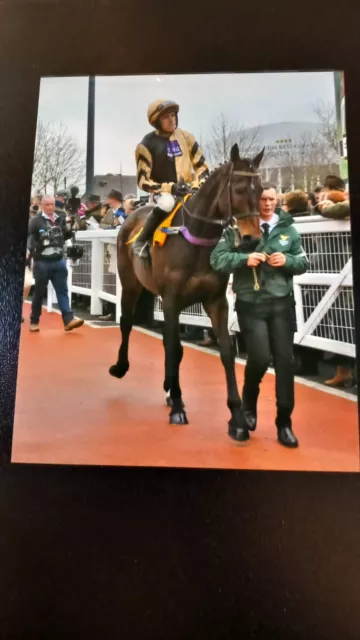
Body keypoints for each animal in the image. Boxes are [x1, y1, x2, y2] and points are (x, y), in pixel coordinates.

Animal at [108, 144, 262, 444]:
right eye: (238, 189)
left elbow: (226, 351)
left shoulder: (216, 301)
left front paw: (237, 419)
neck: (197, 240)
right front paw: (178, 407)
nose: (253, 240)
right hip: (131, 285)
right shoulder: (171, 300)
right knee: (127, 323)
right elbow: (175, 348)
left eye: (261, 189)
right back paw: (121, 367)